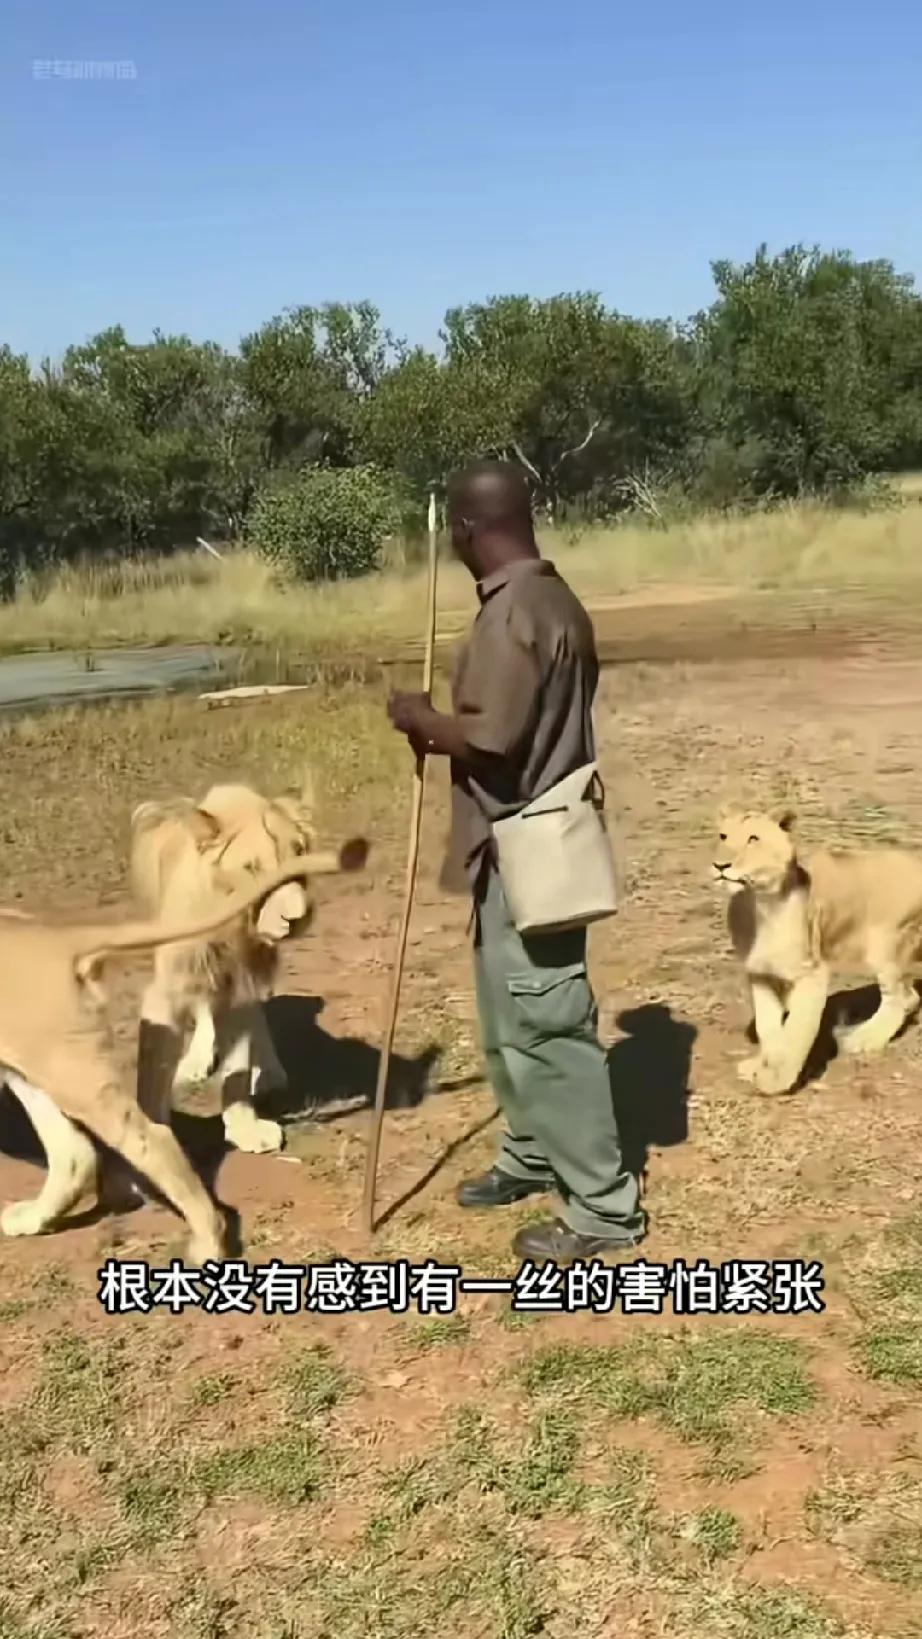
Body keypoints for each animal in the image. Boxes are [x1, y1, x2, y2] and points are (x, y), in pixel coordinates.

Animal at [0, 839, 368, 1258]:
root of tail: (56, 938)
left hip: (68, 1071)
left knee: (151, 1140)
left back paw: (208, 1243)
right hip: (38, 1061)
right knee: (75, 1153)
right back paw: (32, 1220)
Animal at [125, 776, 335, 1153]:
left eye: (298, 854)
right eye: (252, 868)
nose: (298, 917)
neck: (230, 927)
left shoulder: (242, 983)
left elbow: (238, 1066)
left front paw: (245, 1128)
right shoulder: (169, 990)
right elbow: (153, 1075)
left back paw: (268, 1071)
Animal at [714, 803, 922, 1094]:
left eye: (753, 839)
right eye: (722, 836)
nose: (720, 865)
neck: (754, 903)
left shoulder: (812, 972)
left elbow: (796, 1029)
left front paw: (775, 1081)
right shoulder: (760, 974)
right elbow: (768, 1026)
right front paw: (760, 1064)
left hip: (885, 945)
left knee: (902, 998)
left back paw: (862, 1039)